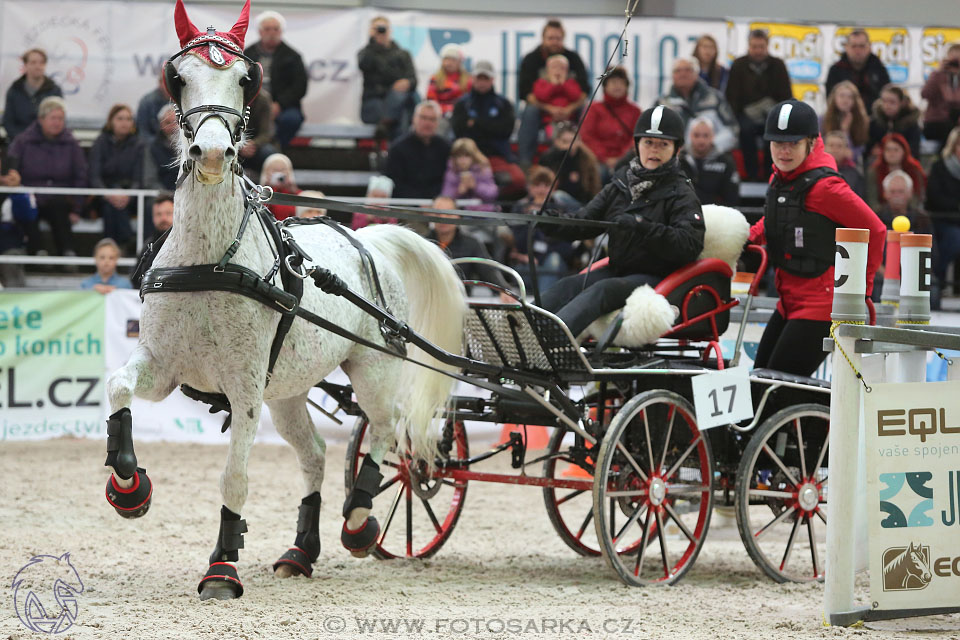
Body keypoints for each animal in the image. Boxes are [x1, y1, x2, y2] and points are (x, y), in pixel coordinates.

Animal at [105, 0, 464, 600]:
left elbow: (235, 476)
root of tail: (366, 239)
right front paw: (129, 486)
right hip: (290, 389)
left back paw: (360, 518)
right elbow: (118, 388)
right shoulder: (163, 365)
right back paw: (301, 550)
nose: (211, 153)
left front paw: (222, 567)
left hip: (371, 369)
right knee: (316, 454)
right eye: (179, 76)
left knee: (386, 429)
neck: (210, 259)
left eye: (245, 79)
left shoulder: (245, 386)